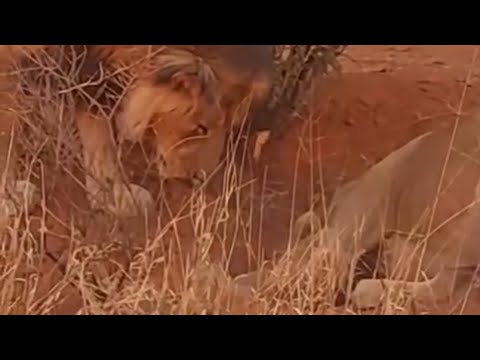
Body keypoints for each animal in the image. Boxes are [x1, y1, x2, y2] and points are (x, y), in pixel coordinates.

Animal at [0, 46, 274, 218]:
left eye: (230, 127)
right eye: (201, 127)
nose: (200, 179)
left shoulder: (92, 70)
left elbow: (99, 138)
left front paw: (115, 197)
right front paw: (9, 199)